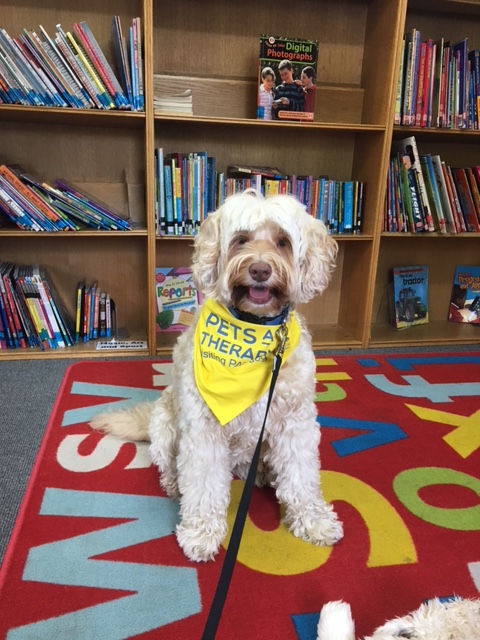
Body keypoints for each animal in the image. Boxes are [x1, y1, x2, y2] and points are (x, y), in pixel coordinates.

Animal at [90, 189, 343, 562]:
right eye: (241, 239)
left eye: (283, 241)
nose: (259, 269)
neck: (253, 326)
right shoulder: (203, 427)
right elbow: (204, 483)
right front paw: (202, 532)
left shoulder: (295, 421)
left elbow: (302, 475)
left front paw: (313, 520)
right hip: (165, 424)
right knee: (170, 464)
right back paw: (175, 484)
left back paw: (266, 473)